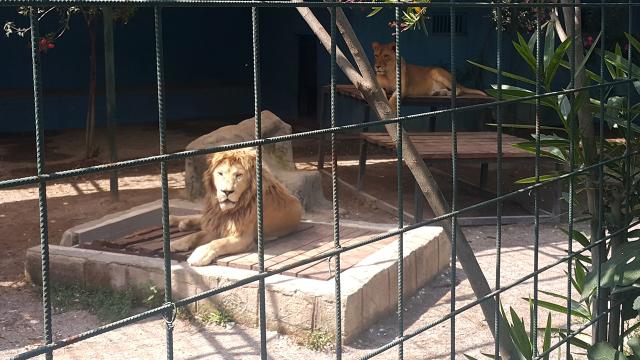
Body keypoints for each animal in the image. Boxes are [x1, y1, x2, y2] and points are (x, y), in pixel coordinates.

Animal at [168, 148, 302, 266]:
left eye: (239, 175)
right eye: (220, 173)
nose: (226, 192)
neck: (226, 211)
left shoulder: (243, 238)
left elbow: (218, 242)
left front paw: (199, 255)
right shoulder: (217, 226)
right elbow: (195, 235)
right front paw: (176, 243)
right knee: (199, 218)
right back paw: (175, 220)